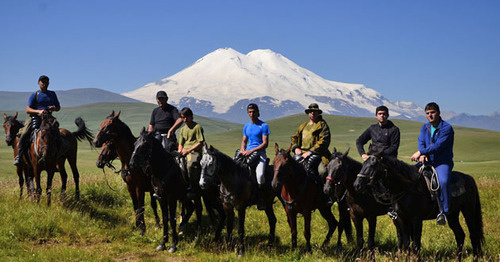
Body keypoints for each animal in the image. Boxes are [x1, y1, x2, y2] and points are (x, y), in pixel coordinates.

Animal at [354, 148, 482, 260]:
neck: (407, 187)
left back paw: (475, 258)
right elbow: (407, 243)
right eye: (363, 164)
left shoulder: (416, 219)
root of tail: (469, 178)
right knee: (460, 235)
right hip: (452, 215)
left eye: (373, 165)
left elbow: (416, 244)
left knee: (473, 235)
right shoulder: (402, 218)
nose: (356, 185)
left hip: (468, 212)